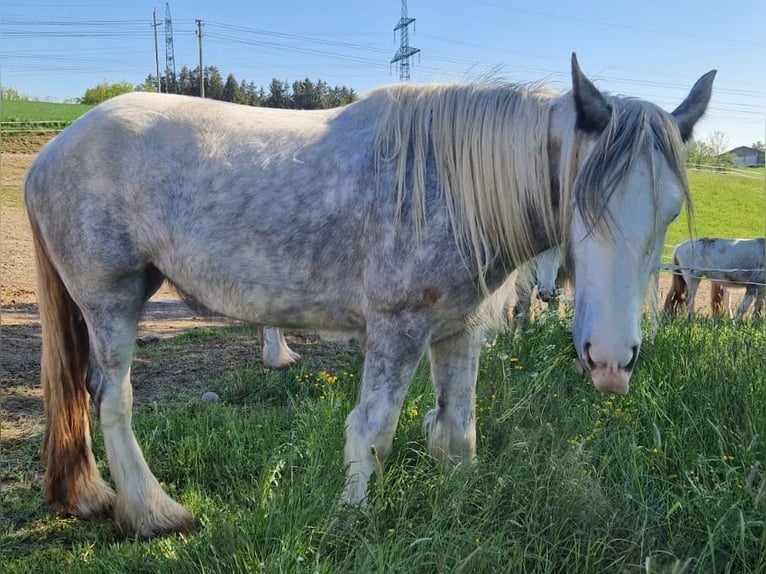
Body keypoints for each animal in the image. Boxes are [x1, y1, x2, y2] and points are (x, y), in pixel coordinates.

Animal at [25, 53, 714, 538]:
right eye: (579, 200)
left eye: (668, 211)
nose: (611, 362)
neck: (450, 184)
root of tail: (49, 153)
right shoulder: (397, 328)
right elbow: (372, 431)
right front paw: (349, 523)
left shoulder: (455, 332)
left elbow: (457, 430)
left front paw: (456, 502)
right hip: (112, 301)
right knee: (112, 401)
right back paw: (152, 513)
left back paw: (91, 498)